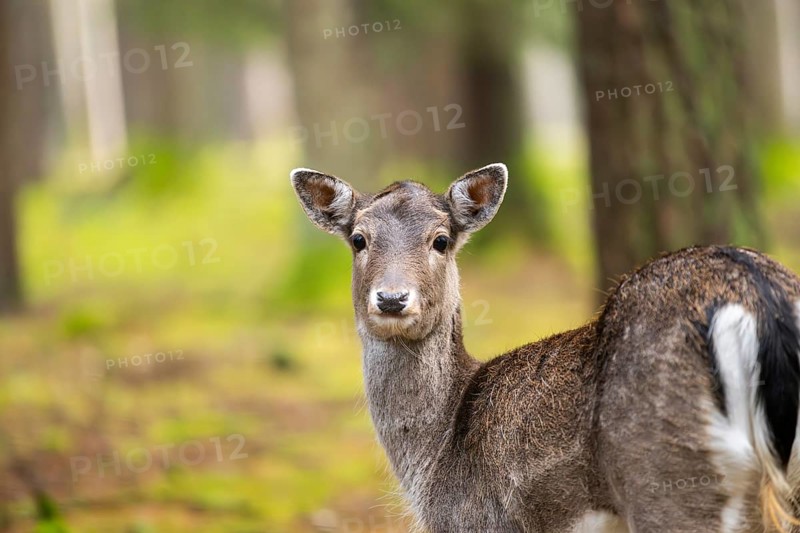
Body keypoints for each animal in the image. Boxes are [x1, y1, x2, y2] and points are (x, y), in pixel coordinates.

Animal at [290, 162, 800, 532]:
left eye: (441, 240)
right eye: (359, 239)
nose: (393, 298)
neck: (434, 460)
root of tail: (757, 297)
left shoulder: (480, 523)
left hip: (669, 476)